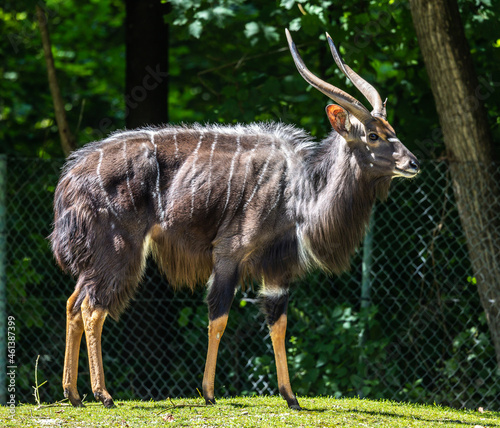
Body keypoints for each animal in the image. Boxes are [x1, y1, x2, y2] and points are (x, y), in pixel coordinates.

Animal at [51, 28, 418, 410]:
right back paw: (103, 394)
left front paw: (290, 396)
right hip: (120, 253)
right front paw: (209, 392)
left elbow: (278, 324)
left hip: (98, 259)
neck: (298, 190)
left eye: (391, 129)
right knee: (93, 308)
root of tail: (69, 179)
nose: (413, 163)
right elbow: (219, 317)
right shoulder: (229, 254)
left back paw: (73, 394)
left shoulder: (278, 270)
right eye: (373, 135)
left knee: (74, 303)